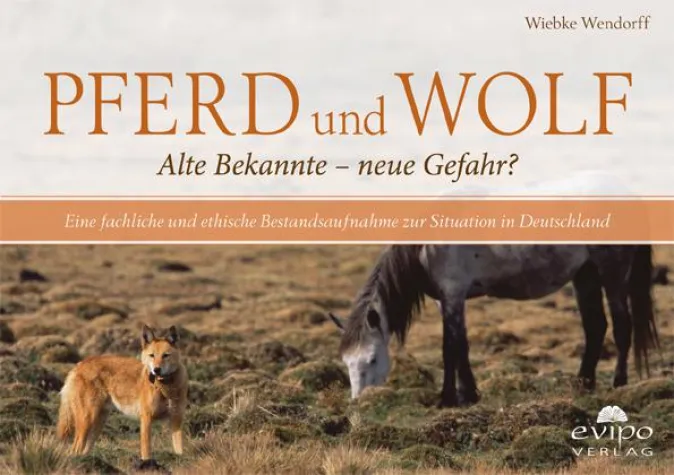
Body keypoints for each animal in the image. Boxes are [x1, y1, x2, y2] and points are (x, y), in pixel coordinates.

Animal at [329, 245, 658, 407]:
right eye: (346, 361)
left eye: (372, 358)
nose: (358, 402)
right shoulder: (447, 301)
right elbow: (461, 346)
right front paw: (469, 394)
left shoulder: (453, 293)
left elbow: (449, 348)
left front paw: (447, 399)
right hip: (585, 274)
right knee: (595, 327)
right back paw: (584, 384)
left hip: (611, 273)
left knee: (621, 327)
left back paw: (618, 383)